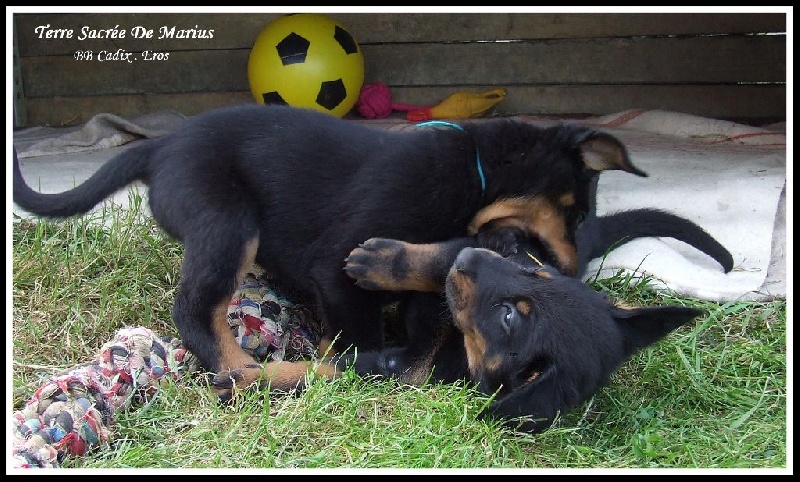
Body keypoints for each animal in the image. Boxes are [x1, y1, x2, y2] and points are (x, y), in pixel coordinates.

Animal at [12, 103, 648, 398]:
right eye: (578, 213)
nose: (571, 275)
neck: (476, 170)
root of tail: (160, 147)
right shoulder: (338, 261)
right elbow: (361, 334)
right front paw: (350, 361)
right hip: (227, 219)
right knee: (195, 310)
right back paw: (243, 371)